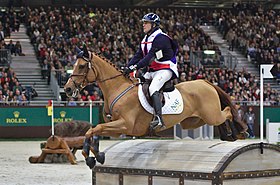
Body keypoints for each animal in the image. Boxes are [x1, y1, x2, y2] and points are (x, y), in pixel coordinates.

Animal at [64, 46, 247, 169]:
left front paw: (93, 155)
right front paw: (94, 155)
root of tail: (205, 81)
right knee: (221, 117)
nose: (67, 89)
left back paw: (237, 132)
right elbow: (93, 130)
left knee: (228, 112)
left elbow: (96, 128)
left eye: (81, 66)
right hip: (194, 120)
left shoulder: (126, 125)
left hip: (210, 115)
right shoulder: (116, 128)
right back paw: (228, 135)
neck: (118, 88)